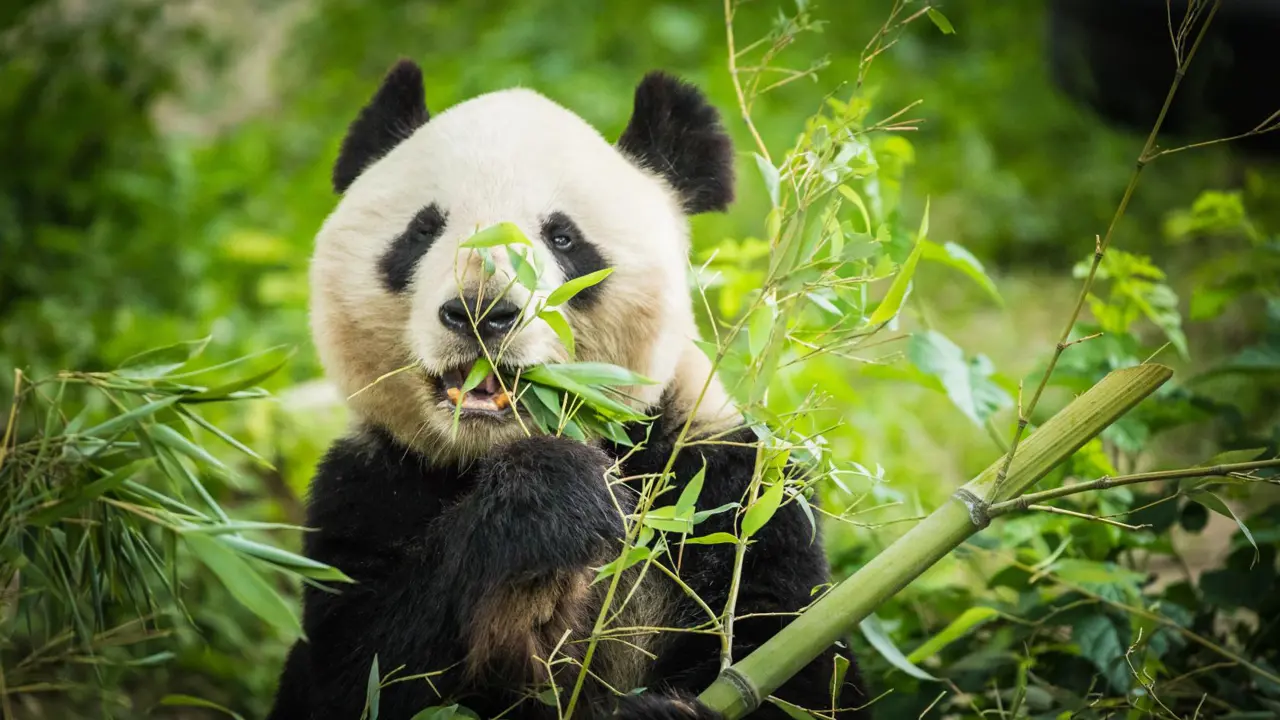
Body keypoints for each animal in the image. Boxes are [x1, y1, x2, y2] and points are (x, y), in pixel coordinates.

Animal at [266, 59, 872, 720]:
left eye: (562, 238)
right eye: (422, 230)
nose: (482, 310)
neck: (492, 448)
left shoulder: (726, 488)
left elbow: (796, 663)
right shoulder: (367, 487)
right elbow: (362, 669)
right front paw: (550, 495)